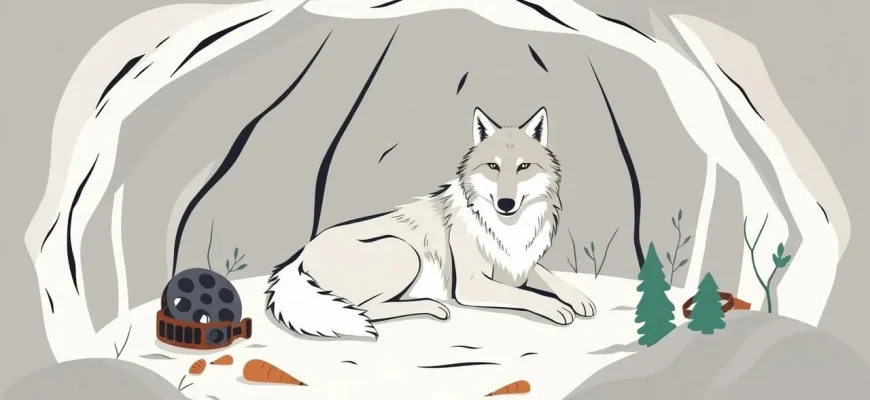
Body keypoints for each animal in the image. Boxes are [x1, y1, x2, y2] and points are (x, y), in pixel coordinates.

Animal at [266, 107, 596, 339]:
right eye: (493, 166)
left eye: (524, 167)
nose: (505, 203)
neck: (508, 230)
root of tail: (299, 255)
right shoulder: (470, 286)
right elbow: (525, 295)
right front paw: (557, 307)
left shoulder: (519, 265)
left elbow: (549, 278)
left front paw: (579, 299)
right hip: (404, 252)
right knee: (363, 309)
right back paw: (431, 306)